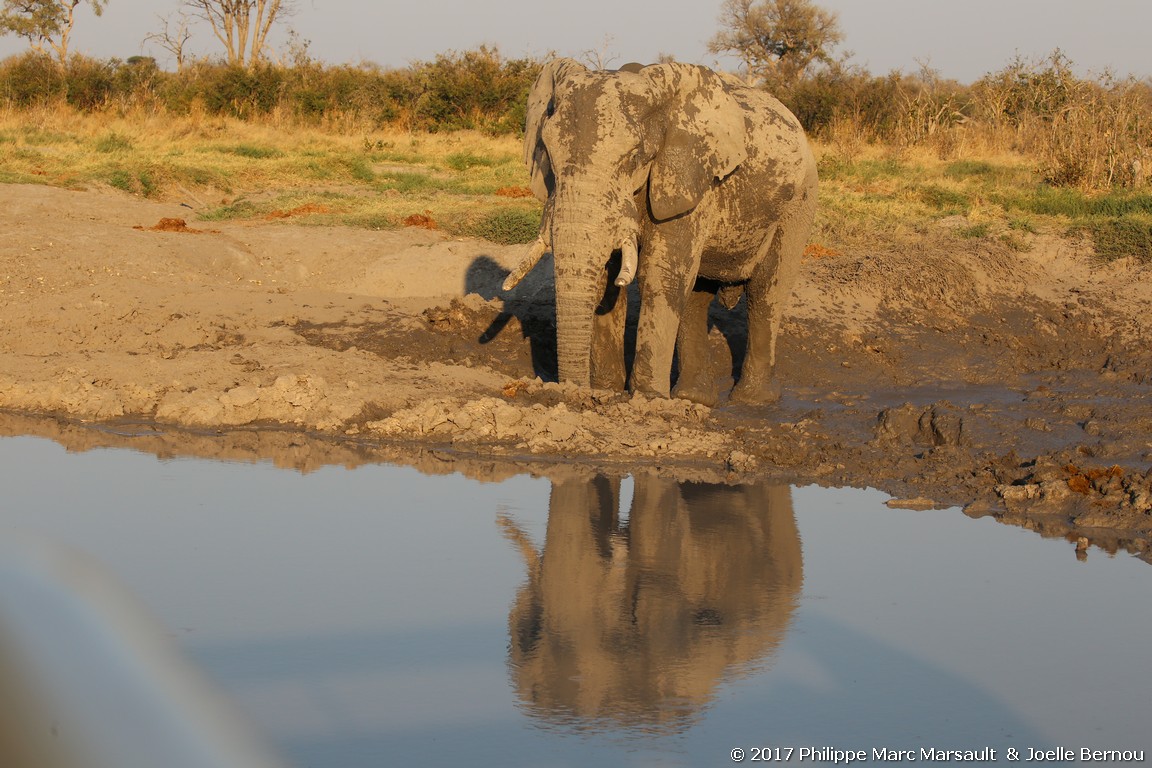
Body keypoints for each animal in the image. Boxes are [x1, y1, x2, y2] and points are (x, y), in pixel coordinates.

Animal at [504, 57, 820, 405]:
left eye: (634, 156)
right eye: (548, 153)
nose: (574, 392)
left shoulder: (690, 181)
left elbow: (660, 274)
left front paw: (648, 399)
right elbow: (606, 280)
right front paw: (607, 391)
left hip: (799, 203)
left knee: (766, 293)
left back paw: (752, 400)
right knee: (697, 297)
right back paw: (694, 398)